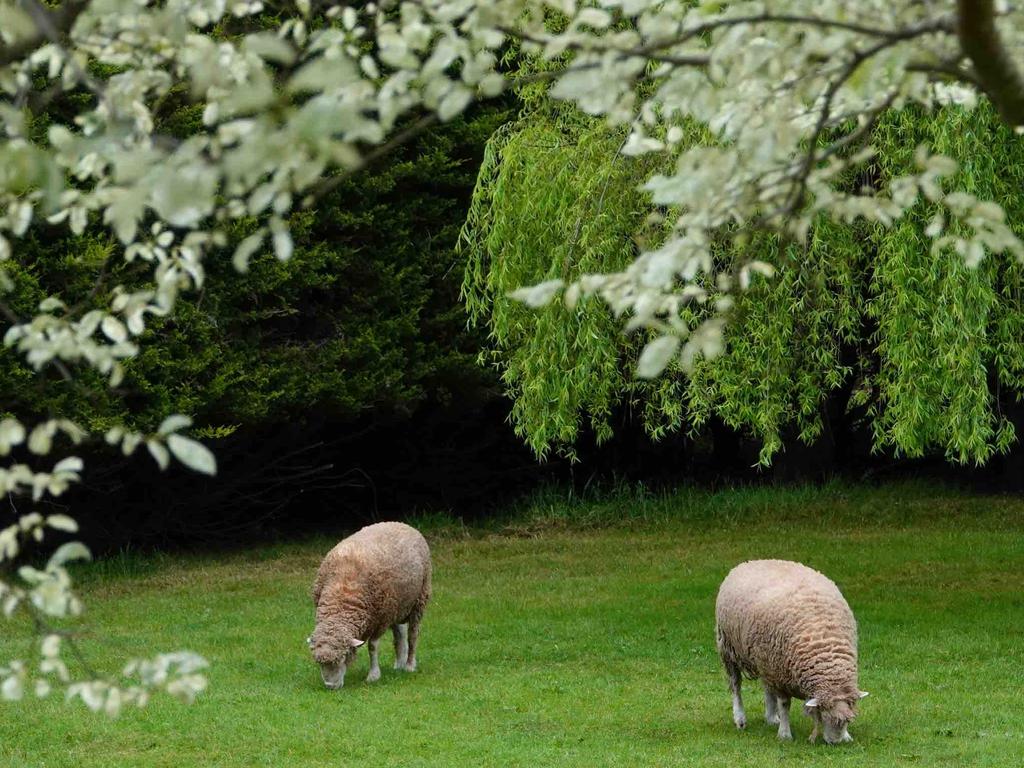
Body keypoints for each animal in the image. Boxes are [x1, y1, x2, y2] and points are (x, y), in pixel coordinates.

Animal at [305, 524, 430, 692]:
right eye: (319, 662)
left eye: (343, 656)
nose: (331, 687)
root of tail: (403, 525)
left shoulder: (382, 618)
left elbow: (372, 647)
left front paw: (373, 675)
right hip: (397, 605)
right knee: (400, 633)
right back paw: (399, 663)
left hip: (419, 599)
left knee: (412, 634)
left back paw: (409, 665)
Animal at [712, 561, 872, 745]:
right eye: (824, 712)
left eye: (848, 719)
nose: (835, 742)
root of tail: (752, 561)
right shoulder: (781, 676)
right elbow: (784, 704)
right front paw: (785, 734)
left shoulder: (776, 667)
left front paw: (846, 735)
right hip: (729, 649)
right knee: (736, 685)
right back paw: (740, 718)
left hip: (765, 658)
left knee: (767, 687)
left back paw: (771, 717)